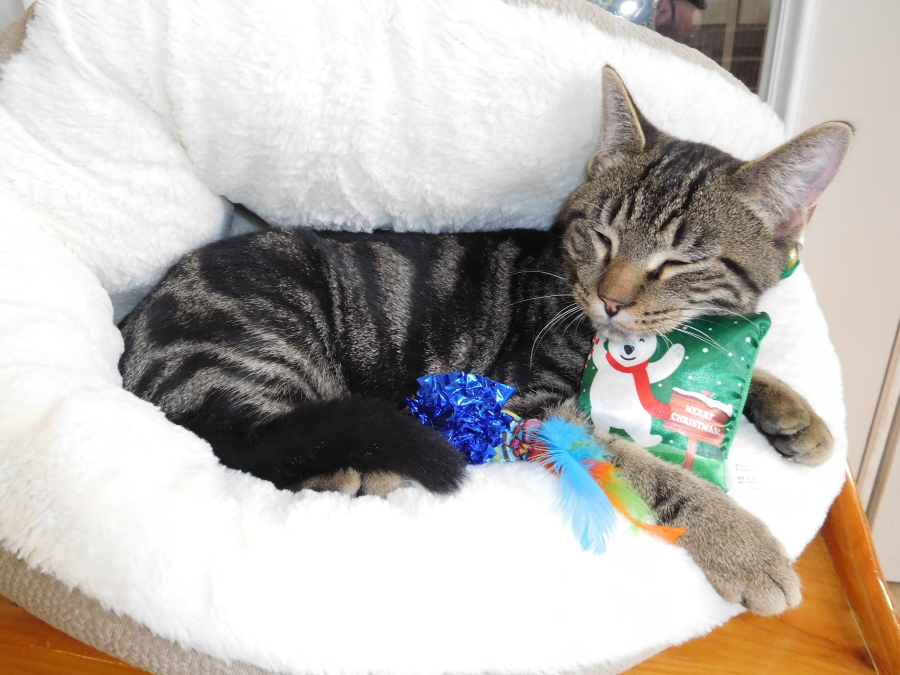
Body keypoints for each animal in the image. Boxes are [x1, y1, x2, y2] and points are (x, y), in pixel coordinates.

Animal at [118, 67, 852, 612]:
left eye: (679, 261)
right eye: (603, 236)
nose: (612, 298)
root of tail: (134, 324)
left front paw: (795, 412)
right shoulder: (540, 405)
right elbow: (640, 464)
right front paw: (744, 544)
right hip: (264, 345)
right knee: (247, 441)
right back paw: (365, 463)